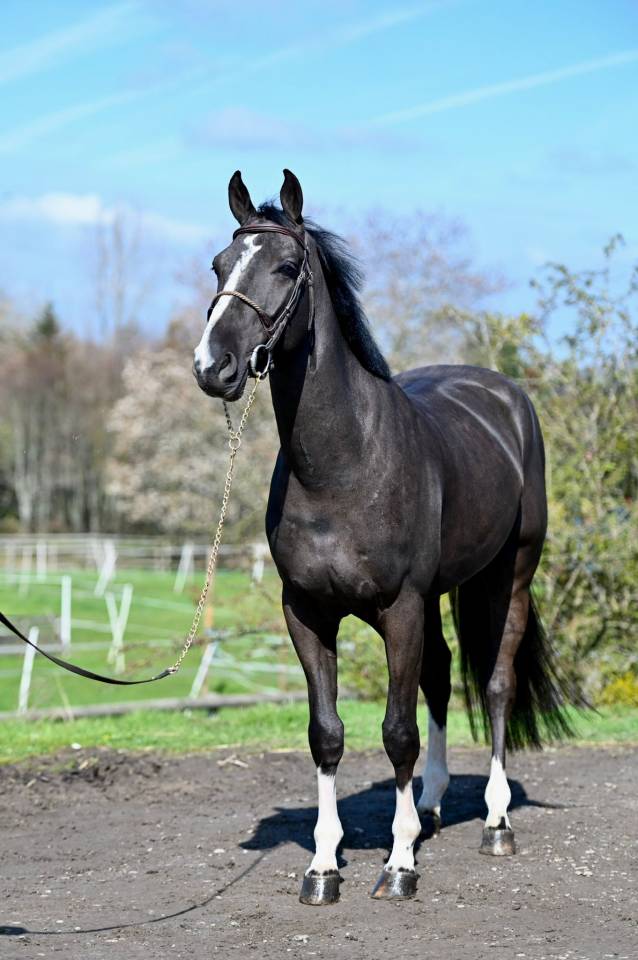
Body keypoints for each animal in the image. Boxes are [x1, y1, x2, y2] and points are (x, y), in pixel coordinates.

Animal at [193, 169, 570, 906]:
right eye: (220, 266)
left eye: (285, 267)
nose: (211, 366)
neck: (342, 467)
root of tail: (505, 397)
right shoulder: (307, 612)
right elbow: (327, 733)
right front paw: (323, 866)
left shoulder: (399, 608)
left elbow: (396, 732)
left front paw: (398, 865)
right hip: (439, 596)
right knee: (443, 677)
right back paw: (430, 806)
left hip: (507, 576)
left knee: (496, 683)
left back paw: (495, 822)